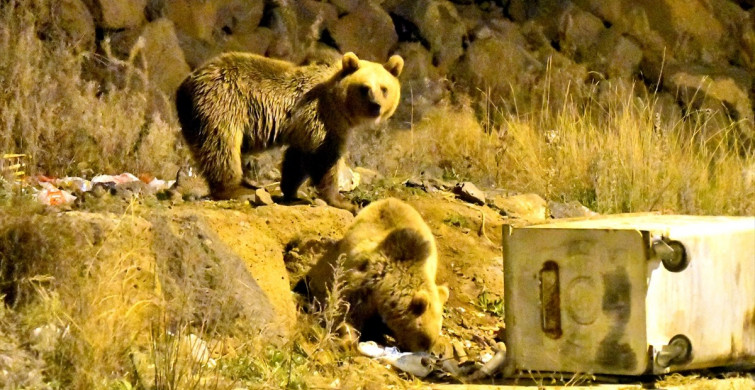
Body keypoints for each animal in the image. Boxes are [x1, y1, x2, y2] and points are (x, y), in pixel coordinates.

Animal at [175, 52, 404, 212]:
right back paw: (238, 188)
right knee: (221, 147)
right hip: (222, 103)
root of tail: (183, 86)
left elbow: (297, 159)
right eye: (365, 88)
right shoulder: (323, 118)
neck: (339, 103)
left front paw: (291, 191)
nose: (376, 106)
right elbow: (324, 159)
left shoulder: (305, 126)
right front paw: (343, 201)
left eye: (384, 88)